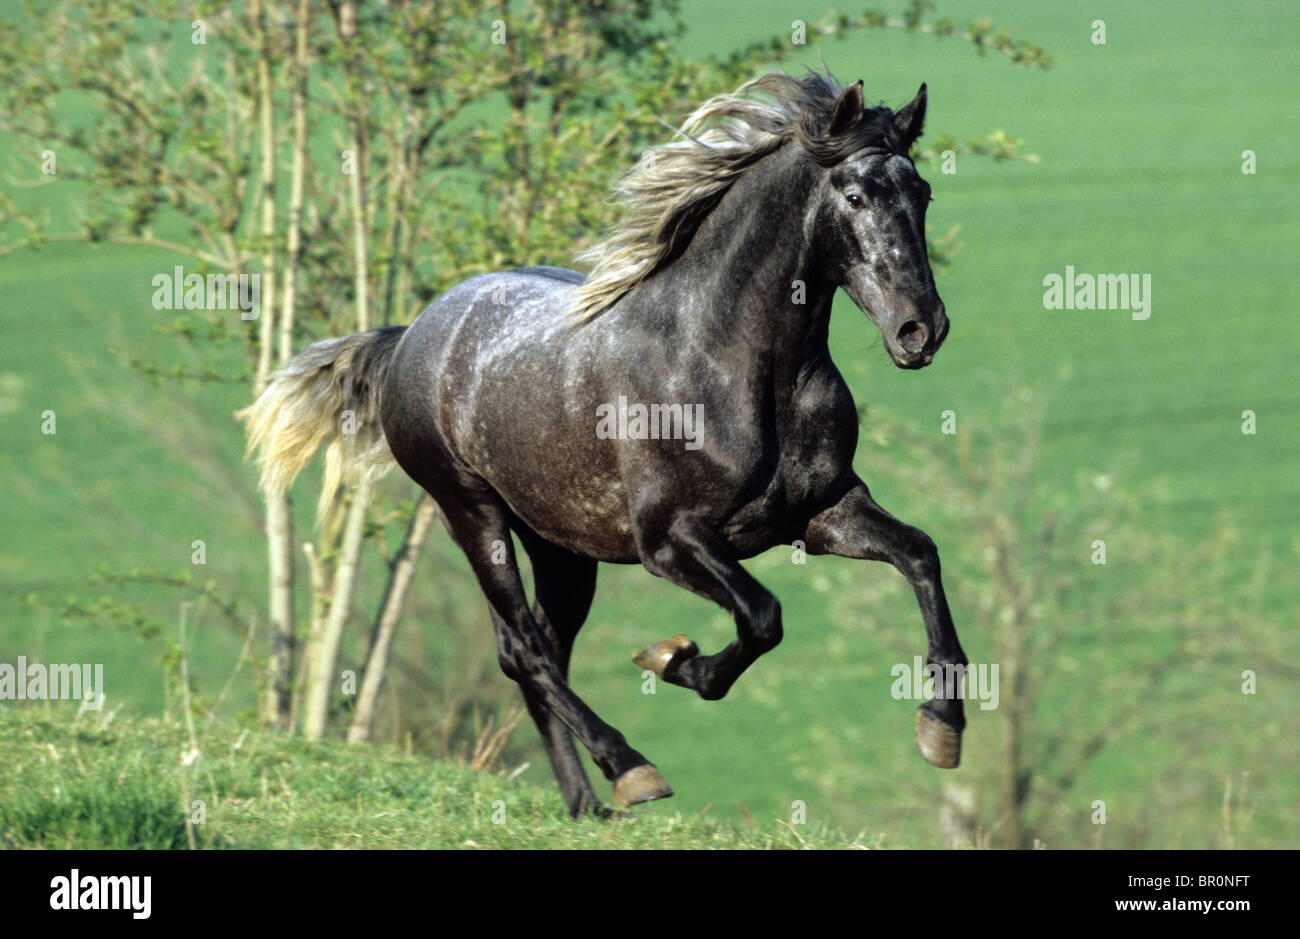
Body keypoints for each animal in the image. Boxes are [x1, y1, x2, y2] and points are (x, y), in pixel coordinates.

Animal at [239, 70, 968, 818]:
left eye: (921, 193)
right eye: (853, 195)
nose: (921, 330)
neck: (737, 369)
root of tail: (410, 334)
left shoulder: (820, 514)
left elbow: (920, 553)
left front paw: (941, 728)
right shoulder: (669, 540)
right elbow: (763, 616)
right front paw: (675, 659)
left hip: (562, 548)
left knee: (538, 649)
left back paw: (587, 803)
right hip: (471, 512)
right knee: (526, 650)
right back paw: (631, 768)